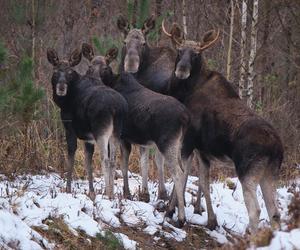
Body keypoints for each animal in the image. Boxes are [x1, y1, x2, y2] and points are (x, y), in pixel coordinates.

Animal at [47, 47, 127, 198]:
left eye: (70, 72)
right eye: (55, 71)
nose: (61, 87)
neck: (63, 102)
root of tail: (115, 108)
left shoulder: (70, 128)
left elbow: (71, 158)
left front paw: (68, 189)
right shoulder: (88, 138)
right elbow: (88, 162)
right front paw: (91, 192)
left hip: (101, 130)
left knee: (105, 160)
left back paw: (108, 194)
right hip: (116, 132)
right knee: (113, 160)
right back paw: (112, 194)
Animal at [81, 43, 190, 227]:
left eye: (105, 67)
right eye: (90, 66)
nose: (93, 77)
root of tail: (185, 118)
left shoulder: (122, 136)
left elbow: (121, 164)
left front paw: (122, 193)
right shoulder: (134, 139)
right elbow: (134, 163)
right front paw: (134, 194)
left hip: (167, 142)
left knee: (178, 173)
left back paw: (180, 218)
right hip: (180, 143)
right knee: (183, 170)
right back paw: (170, 210)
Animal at [162, 21, 284, 232]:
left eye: (196, 54)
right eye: (179, 50)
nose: (182, 69)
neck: (185, 92)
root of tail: (277, 148)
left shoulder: (188, 141)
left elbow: (182, 175)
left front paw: (173, 214)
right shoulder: (203, 151)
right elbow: (203, 182)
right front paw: (211, 220)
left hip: (247, 171)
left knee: (256, 210)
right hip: (270, 173)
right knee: (274, 212)